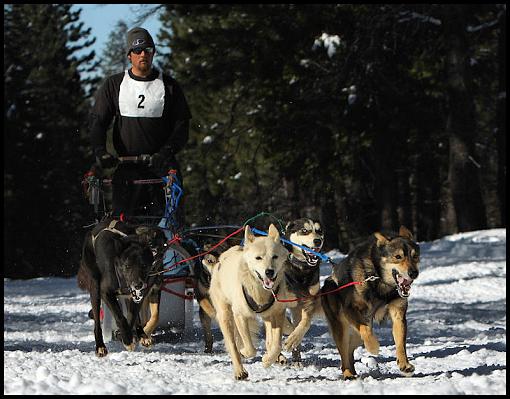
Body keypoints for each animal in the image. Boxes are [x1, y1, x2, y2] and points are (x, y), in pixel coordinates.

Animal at [77, 220, 166, 358]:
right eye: (127, 266)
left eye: (144, 265)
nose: (138, 284)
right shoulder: (106, 292)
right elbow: (120, 317)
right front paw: (127, 339)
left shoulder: (141, 295)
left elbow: (133, 317)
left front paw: (129, 335)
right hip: (95, 288)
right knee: (97, 323)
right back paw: (100, 346)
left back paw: (142, 335)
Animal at [209, 225, 290, 382]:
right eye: (258, 258)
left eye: (275, 256)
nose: (269, 272)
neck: (259, 290)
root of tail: (221, 259)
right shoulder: (240, 316)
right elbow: (250, 348)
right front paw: (245, 353)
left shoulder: (278, 313)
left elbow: (276, 344)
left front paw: (268, 359)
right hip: (226, 316)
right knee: (233, 345)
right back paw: (239, 371)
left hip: (267, 316)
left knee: (269, 340)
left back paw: (276, 357)